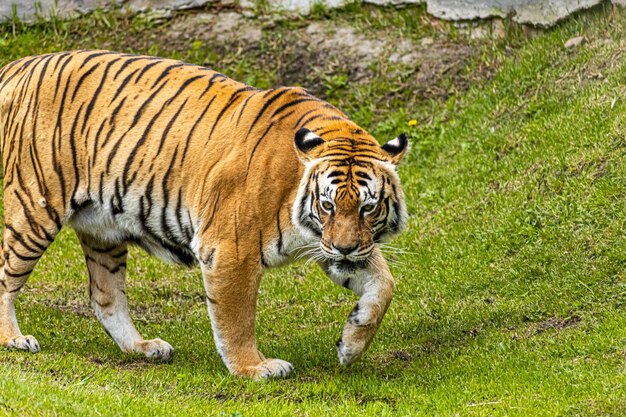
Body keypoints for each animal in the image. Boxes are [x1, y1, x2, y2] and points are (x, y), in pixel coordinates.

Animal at [0, 50, 408, 378]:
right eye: (327, 205)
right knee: (8, 275)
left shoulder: (333, 245)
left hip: (103, 228)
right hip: (35, 208)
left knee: (105, 297)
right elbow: (237, 317)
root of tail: (19, 65)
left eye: (368, 207)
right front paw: (253, 368)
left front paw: (351, 345)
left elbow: (384, 285)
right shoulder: (231, 249)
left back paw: (142, 347)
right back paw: (14, 339)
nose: (344, 250)